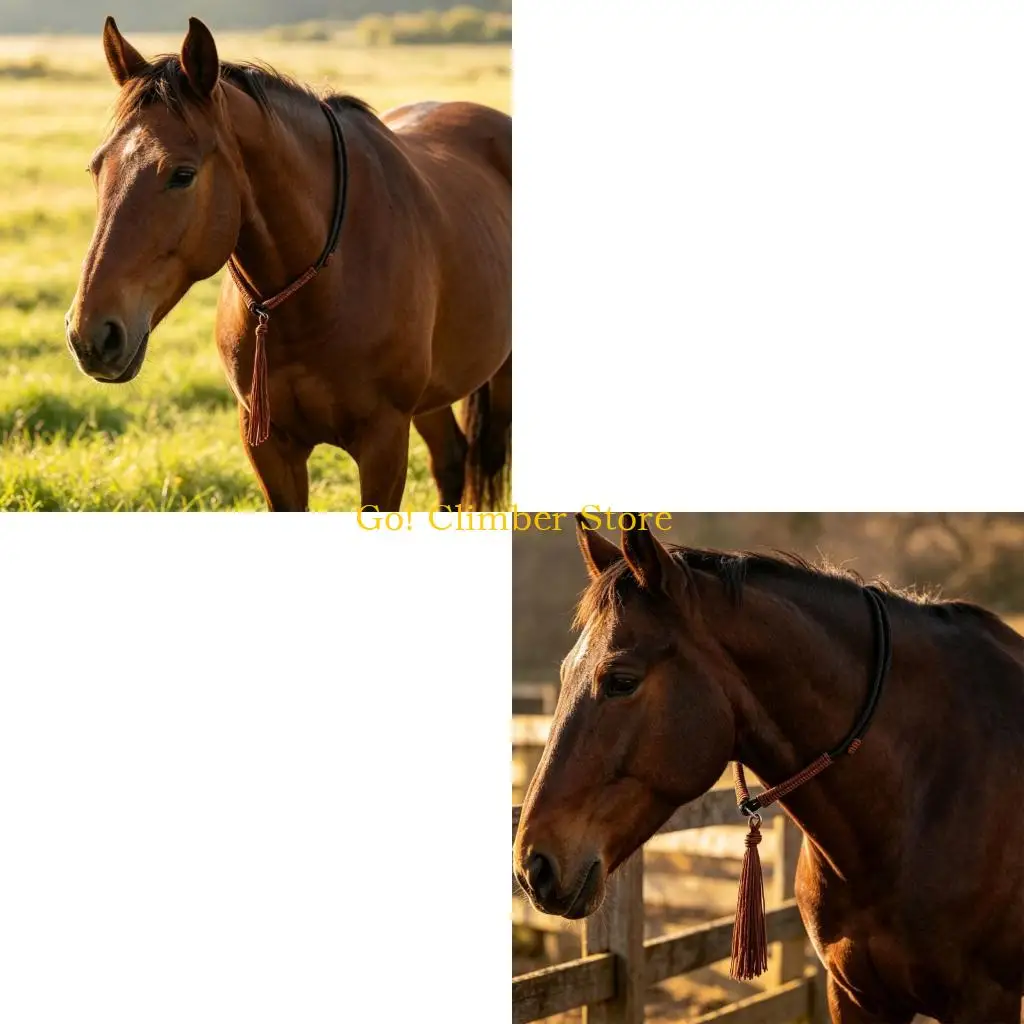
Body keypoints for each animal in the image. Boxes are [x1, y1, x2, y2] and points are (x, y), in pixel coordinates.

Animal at [65, 17, 511, 512]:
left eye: (182, 174)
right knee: (450, 459)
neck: (324, 289)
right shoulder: (270, 447)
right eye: (96, 168)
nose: (90, 336)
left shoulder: (384, 442)